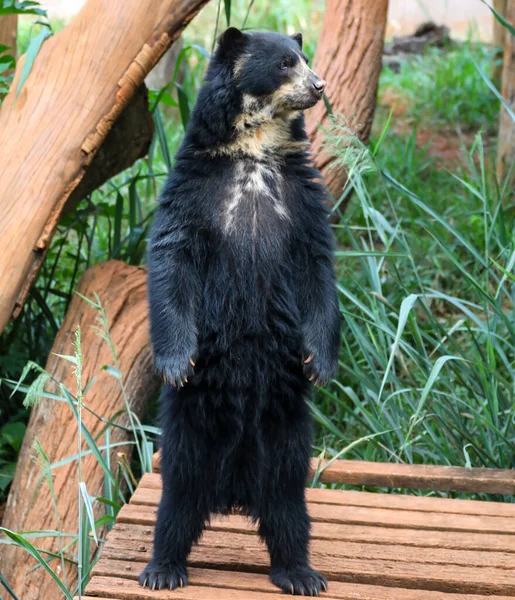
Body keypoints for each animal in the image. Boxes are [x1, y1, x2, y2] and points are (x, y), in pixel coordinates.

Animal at [141, 27, 342, 596]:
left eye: (303, 57)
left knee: (288, 504)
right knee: (178, 497)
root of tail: (233, 490)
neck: (252, 150)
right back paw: (163, 568)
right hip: (188, 430)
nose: (319, 86)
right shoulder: (191, 188)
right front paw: (176, 363)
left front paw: (320, 364)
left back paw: (301, 572)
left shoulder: (301, 198)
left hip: (288, 435)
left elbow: (318, 268)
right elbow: (170, 259)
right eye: (284, 63)